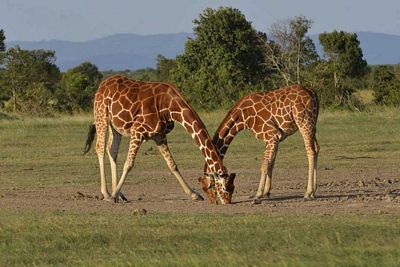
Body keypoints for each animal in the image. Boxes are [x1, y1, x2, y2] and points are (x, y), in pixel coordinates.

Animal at [83, 74, 234, 204]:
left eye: (233, 187)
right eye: (224, 188)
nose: (226, 202)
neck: (170, 107)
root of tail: (102, 85)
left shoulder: (159, 136)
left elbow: (172, 164)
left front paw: (194, 195)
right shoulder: (137, 130)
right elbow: (129, 164)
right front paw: (112, 197)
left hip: (115, 126)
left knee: (112, 150)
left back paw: (120, 194)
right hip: (102, 116)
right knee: (100, 148)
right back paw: (107, 193)